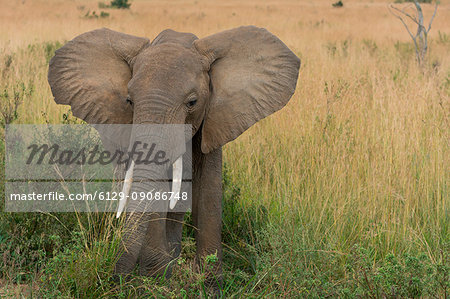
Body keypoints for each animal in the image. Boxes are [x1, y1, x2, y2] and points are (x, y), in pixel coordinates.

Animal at [47, 26, 300, 290]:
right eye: (129, 101)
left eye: (192, 102)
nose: (112, 279)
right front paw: (157, 279)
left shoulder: (213, 120)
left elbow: (209, 189)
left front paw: (209, 285)